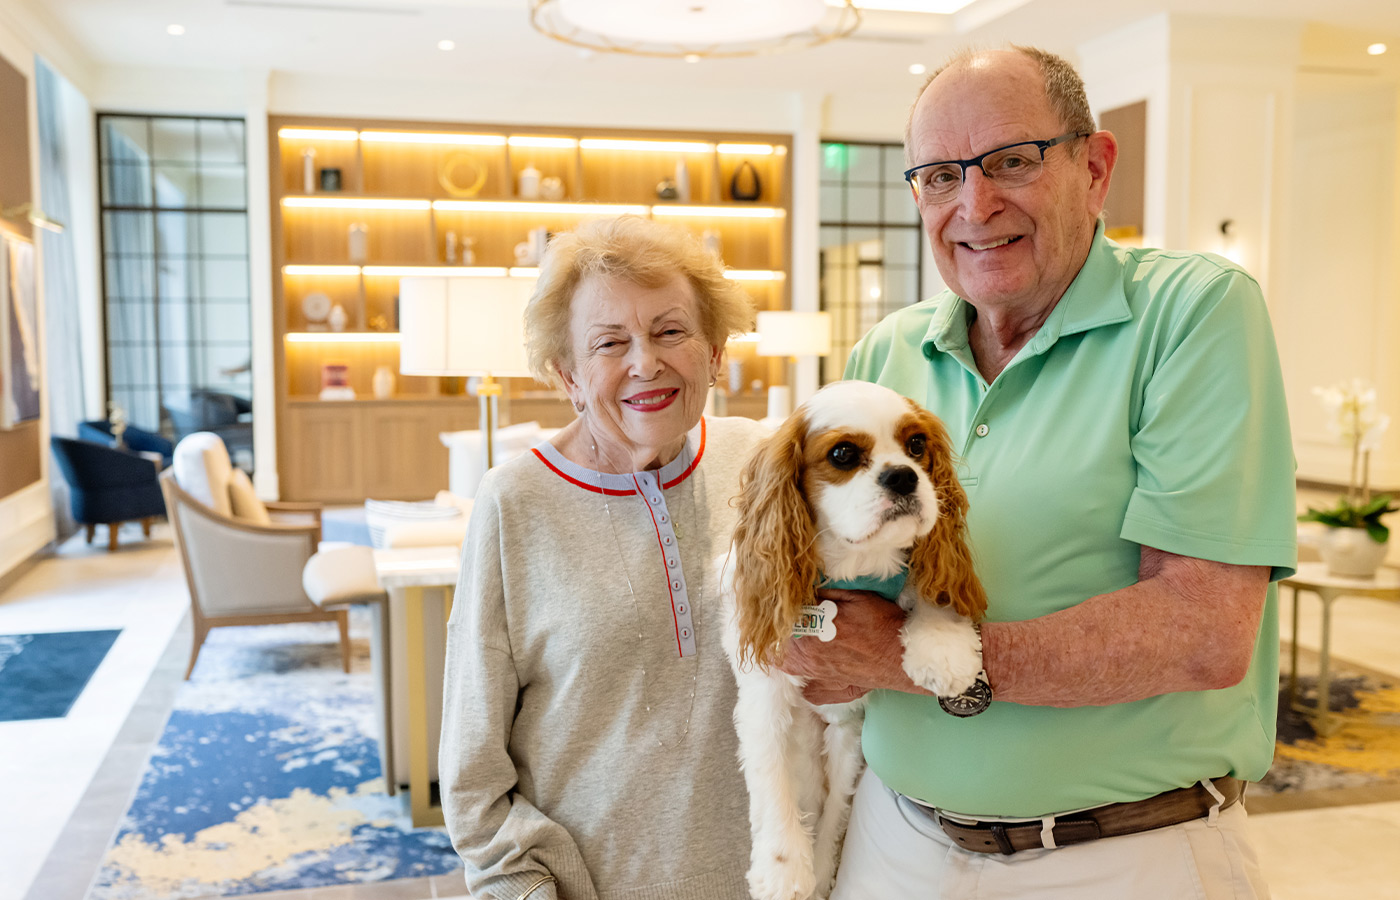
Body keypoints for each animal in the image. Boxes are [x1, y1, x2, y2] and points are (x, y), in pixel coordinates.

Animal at [716, 380, 991, 900]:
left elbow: (930, 589)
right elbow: (771, 781)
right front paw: (783, 870)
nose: (903, 477)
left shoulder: (849, 722)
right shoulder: (765, 699)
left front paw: (943, 643)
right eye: (843, 454)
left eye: (917, 446)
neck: (859, 565)